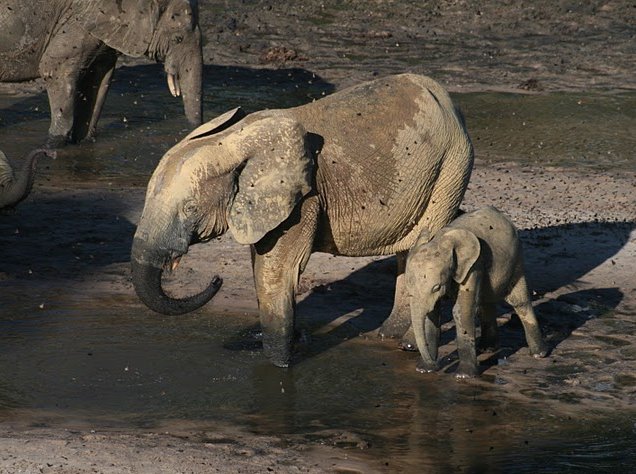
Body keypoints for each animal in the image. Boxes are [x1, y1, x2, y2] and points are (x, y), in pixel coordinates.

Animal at [0, 0, 202, 144]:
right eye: (178, 39)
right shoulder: (80, 20)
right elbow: (53, 67)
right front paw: (55, 144)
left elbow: (98, 80)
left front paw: (82, 142)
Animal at [132, 74, 474, 368]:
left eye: (190, 208)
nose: (216, 279)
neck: (234, 140)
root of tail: (446, 98)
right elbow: (263, 266)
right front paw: (292, 344)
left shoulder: (303, 198)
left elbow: (277, 272)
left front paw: (280, 365)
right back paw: (388, 336)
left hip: (451, 167)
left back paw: (409, 346)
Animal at [404, 206, 548, 378]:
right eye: (409, 287)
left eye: (437, 287)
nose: (437, 365)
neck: (441, 241)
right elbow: (432, 314)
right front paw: (424, 369)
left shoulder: (474, 266)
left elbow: (461, 311)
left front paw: (463, 376)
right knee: (486, 302)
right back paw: (487, 348)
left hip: (516, 261)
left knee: (520, 303)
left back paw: (539, 354)